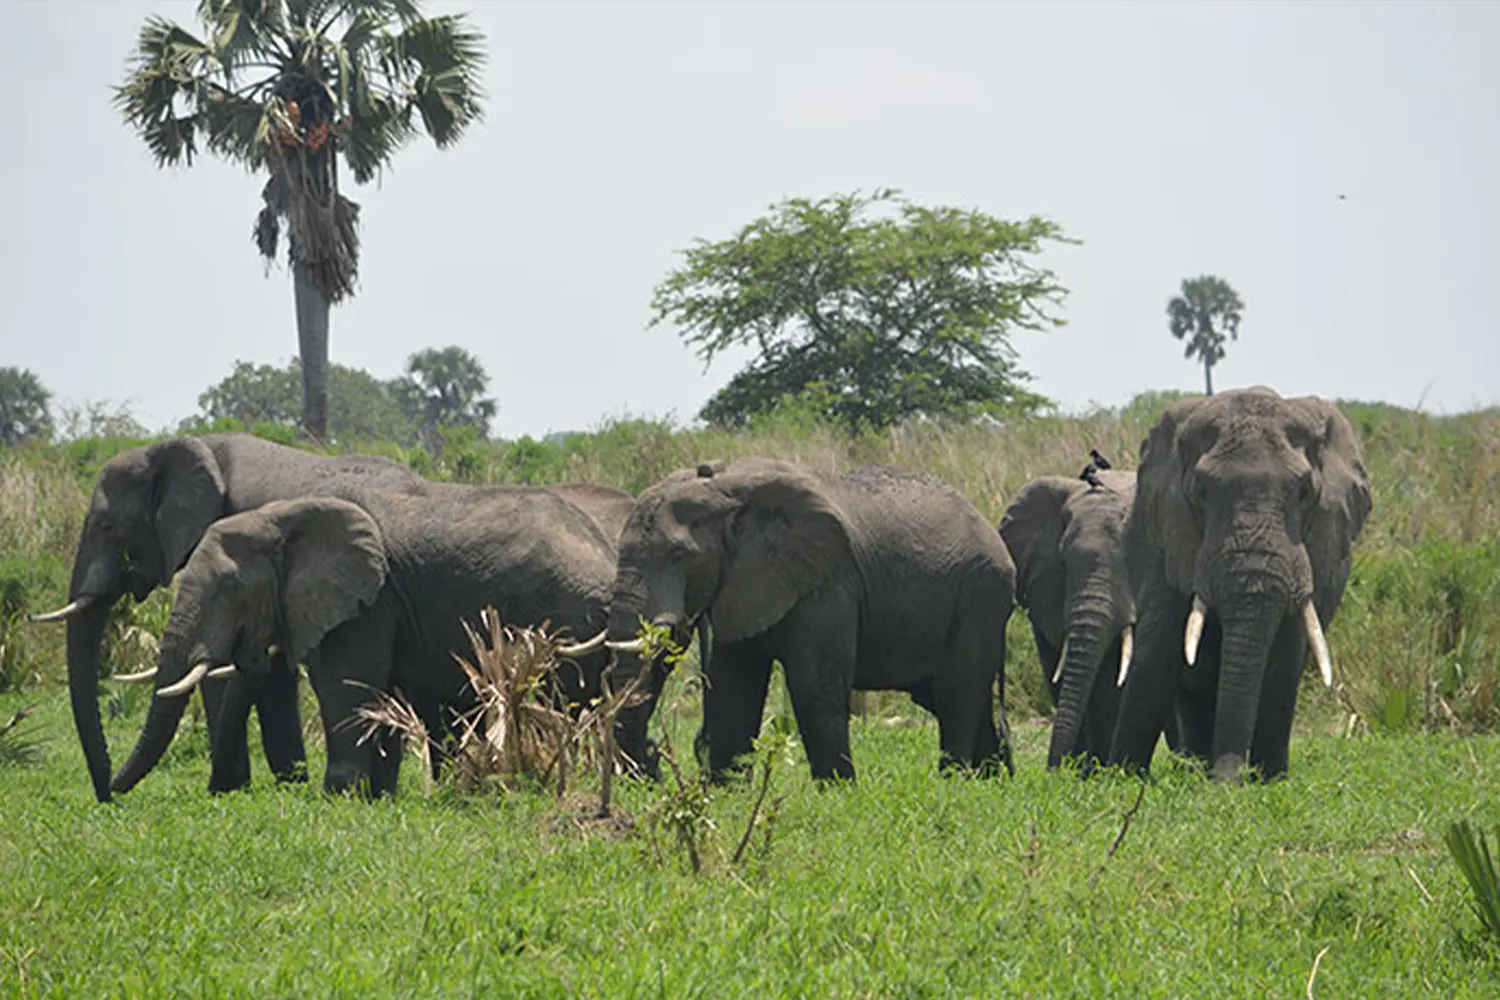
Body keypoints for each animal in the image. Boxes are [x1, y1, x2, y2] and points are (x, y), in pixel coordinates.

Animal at [109, 479, 627, 803]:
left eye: (231, 589)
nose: (107, 792)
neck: (282, 517)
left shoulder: (368, 603)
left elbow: (344, 684)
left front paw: (339, 798)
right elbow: (382, 694)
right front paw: (378, 796)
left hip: (564, 619)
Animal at [603, 458, 1014, 785]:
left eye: (678, 555)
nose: (652, 763)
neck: (725, 489)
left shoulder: (828, 580)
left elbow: (813, 684)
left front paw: (839, 792)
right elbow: (733, 686)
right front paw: (727, 795)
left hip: (980, 595)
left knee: (957, 691)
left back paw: (955, 783)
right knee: (951, 694)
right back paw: (993, 783)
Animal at [996, 467, 1134, 767]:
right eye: (1064, 562)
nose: (1052, 769)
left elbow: (1112, 685)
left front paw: (1097, 770)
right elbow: (1057, 672)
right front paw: (1076, 769)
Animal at [1104, 386, 1374, 785]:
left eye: (1304, 492)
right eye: (1201, 491)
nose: (1227, 780)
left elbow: (1283, 658)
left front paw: (1270, 779)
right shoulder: (1170, 536)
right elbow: (1157, 650)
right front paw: (1123, 776)